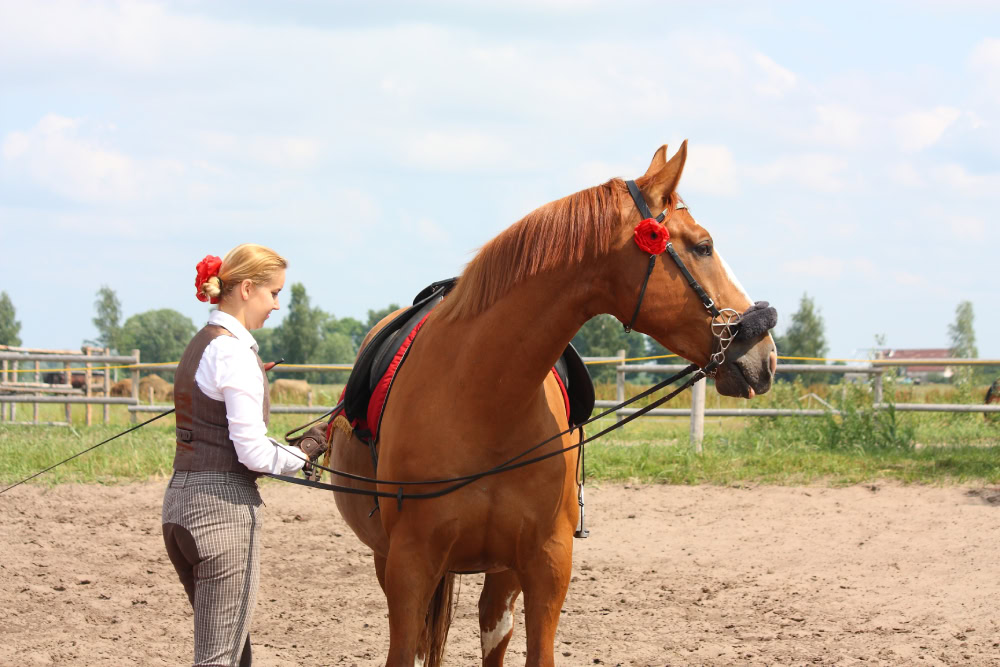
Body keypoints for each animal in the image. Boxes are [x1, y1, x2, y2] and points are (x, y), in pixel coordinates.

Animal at [329, 141, 777, 666]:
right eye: (703, 246)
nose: (766, 355)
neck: (484, 399)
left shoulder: (547, 564)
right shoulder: (410, 565)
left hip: (501, 572)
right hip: (392, 559)